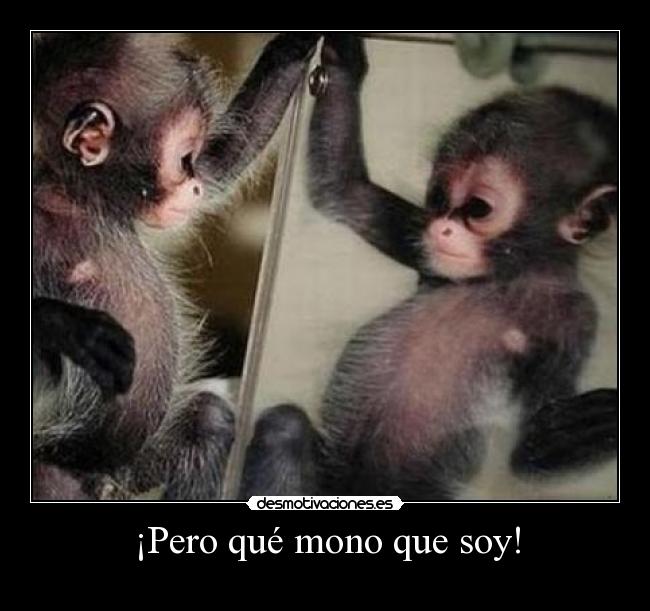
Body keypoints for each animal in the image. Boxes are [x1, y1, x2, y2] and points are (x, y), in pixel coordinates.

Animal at [32, 32, 320, 500]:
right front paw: (69, 326)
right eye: (183, 159)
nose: (194, 185)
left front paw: (292, 46)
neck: (75, 202)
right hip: (55, 467)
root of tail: (104, 477)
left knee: (207, 419)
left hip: (137, 463)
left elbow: (225, 160)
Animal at [241, 34, 618, 500]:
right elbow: (344, 191)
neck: (500, 281)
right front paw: (342, 59)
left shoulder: (575, 318)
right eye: (438, 198)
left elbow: (526, 454)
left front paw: (600, 421)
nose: (441, 228)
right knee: (286, 427)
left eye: (478, 208)